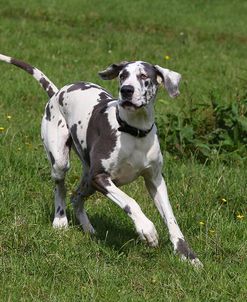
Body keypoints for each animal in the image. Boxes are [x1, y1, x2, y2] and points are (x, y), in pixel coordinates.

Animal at [0, 54, 203, 266]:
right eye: (123, 76)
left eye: (144, 76)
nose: (126, 90)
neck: (134, 131)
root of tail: (57, 93)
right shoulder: (100, 177)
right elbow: (130, 202)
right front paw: (147, 229)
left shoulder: (155, 180)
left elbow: (171, 219)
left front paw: (186, 254)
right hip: (63, 164)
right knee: (61, 189)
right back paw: (60, 221)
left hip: (88, 180)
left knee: (76, 197)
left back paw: (88, 229)